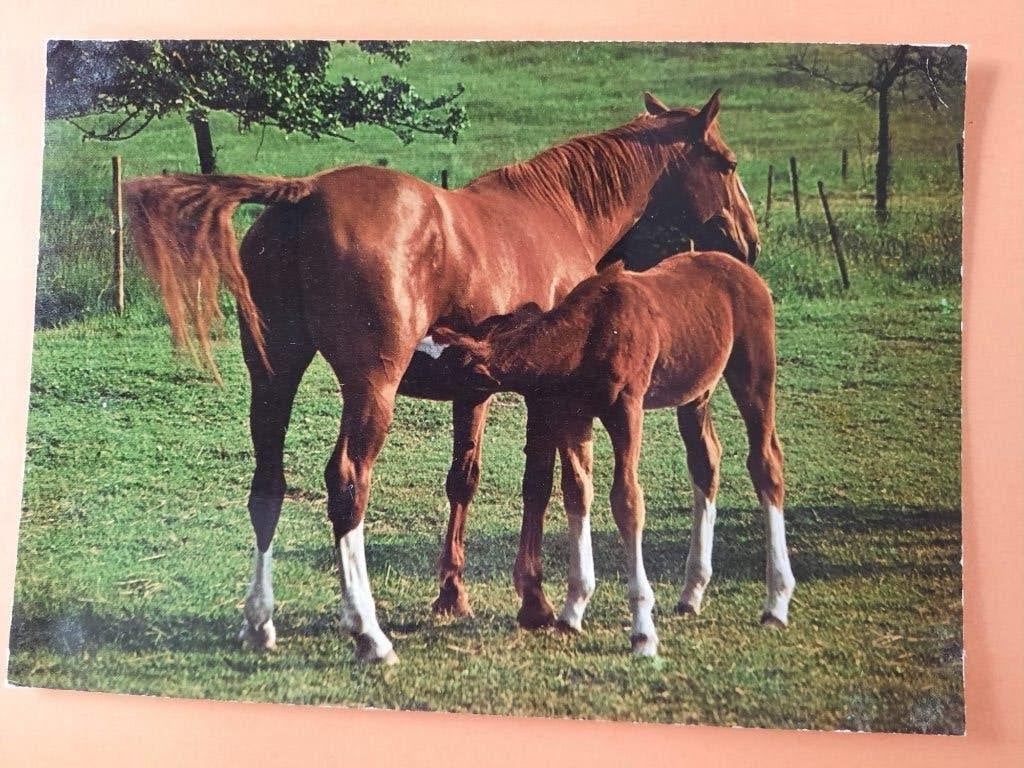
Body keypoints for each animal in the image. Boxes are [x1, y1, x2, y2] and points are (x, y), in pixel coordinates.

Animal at [430, 251, 795, 656]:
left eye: (449, 365)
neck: (588, 334)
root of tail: (745, 270)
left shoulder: (626, 410)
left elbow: (627, 501)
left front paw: (642, 631)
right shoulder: (575, 416)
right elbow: (576, 493)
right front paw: (572, 610)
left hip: (754, 374)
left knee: (765, 463)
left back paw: (776, 602)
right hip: (696, 391)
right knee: (705, 462)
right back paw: (692, 593)